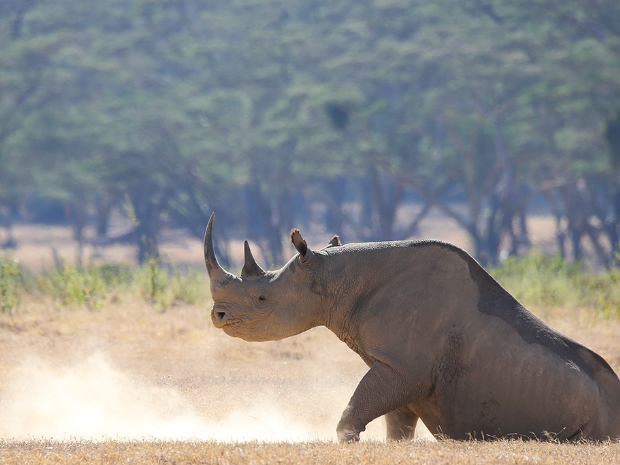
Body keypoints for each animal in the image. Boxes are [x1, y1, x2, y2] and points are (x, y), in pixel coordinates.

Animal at [205, 214, 620, 442]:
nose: (217, 316)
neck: (333, 275)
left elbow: (354, 412)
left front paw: (348, 442)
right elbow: (395, 424)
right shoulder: (400, 372)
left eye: (262, 299)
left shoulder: (404, 368)